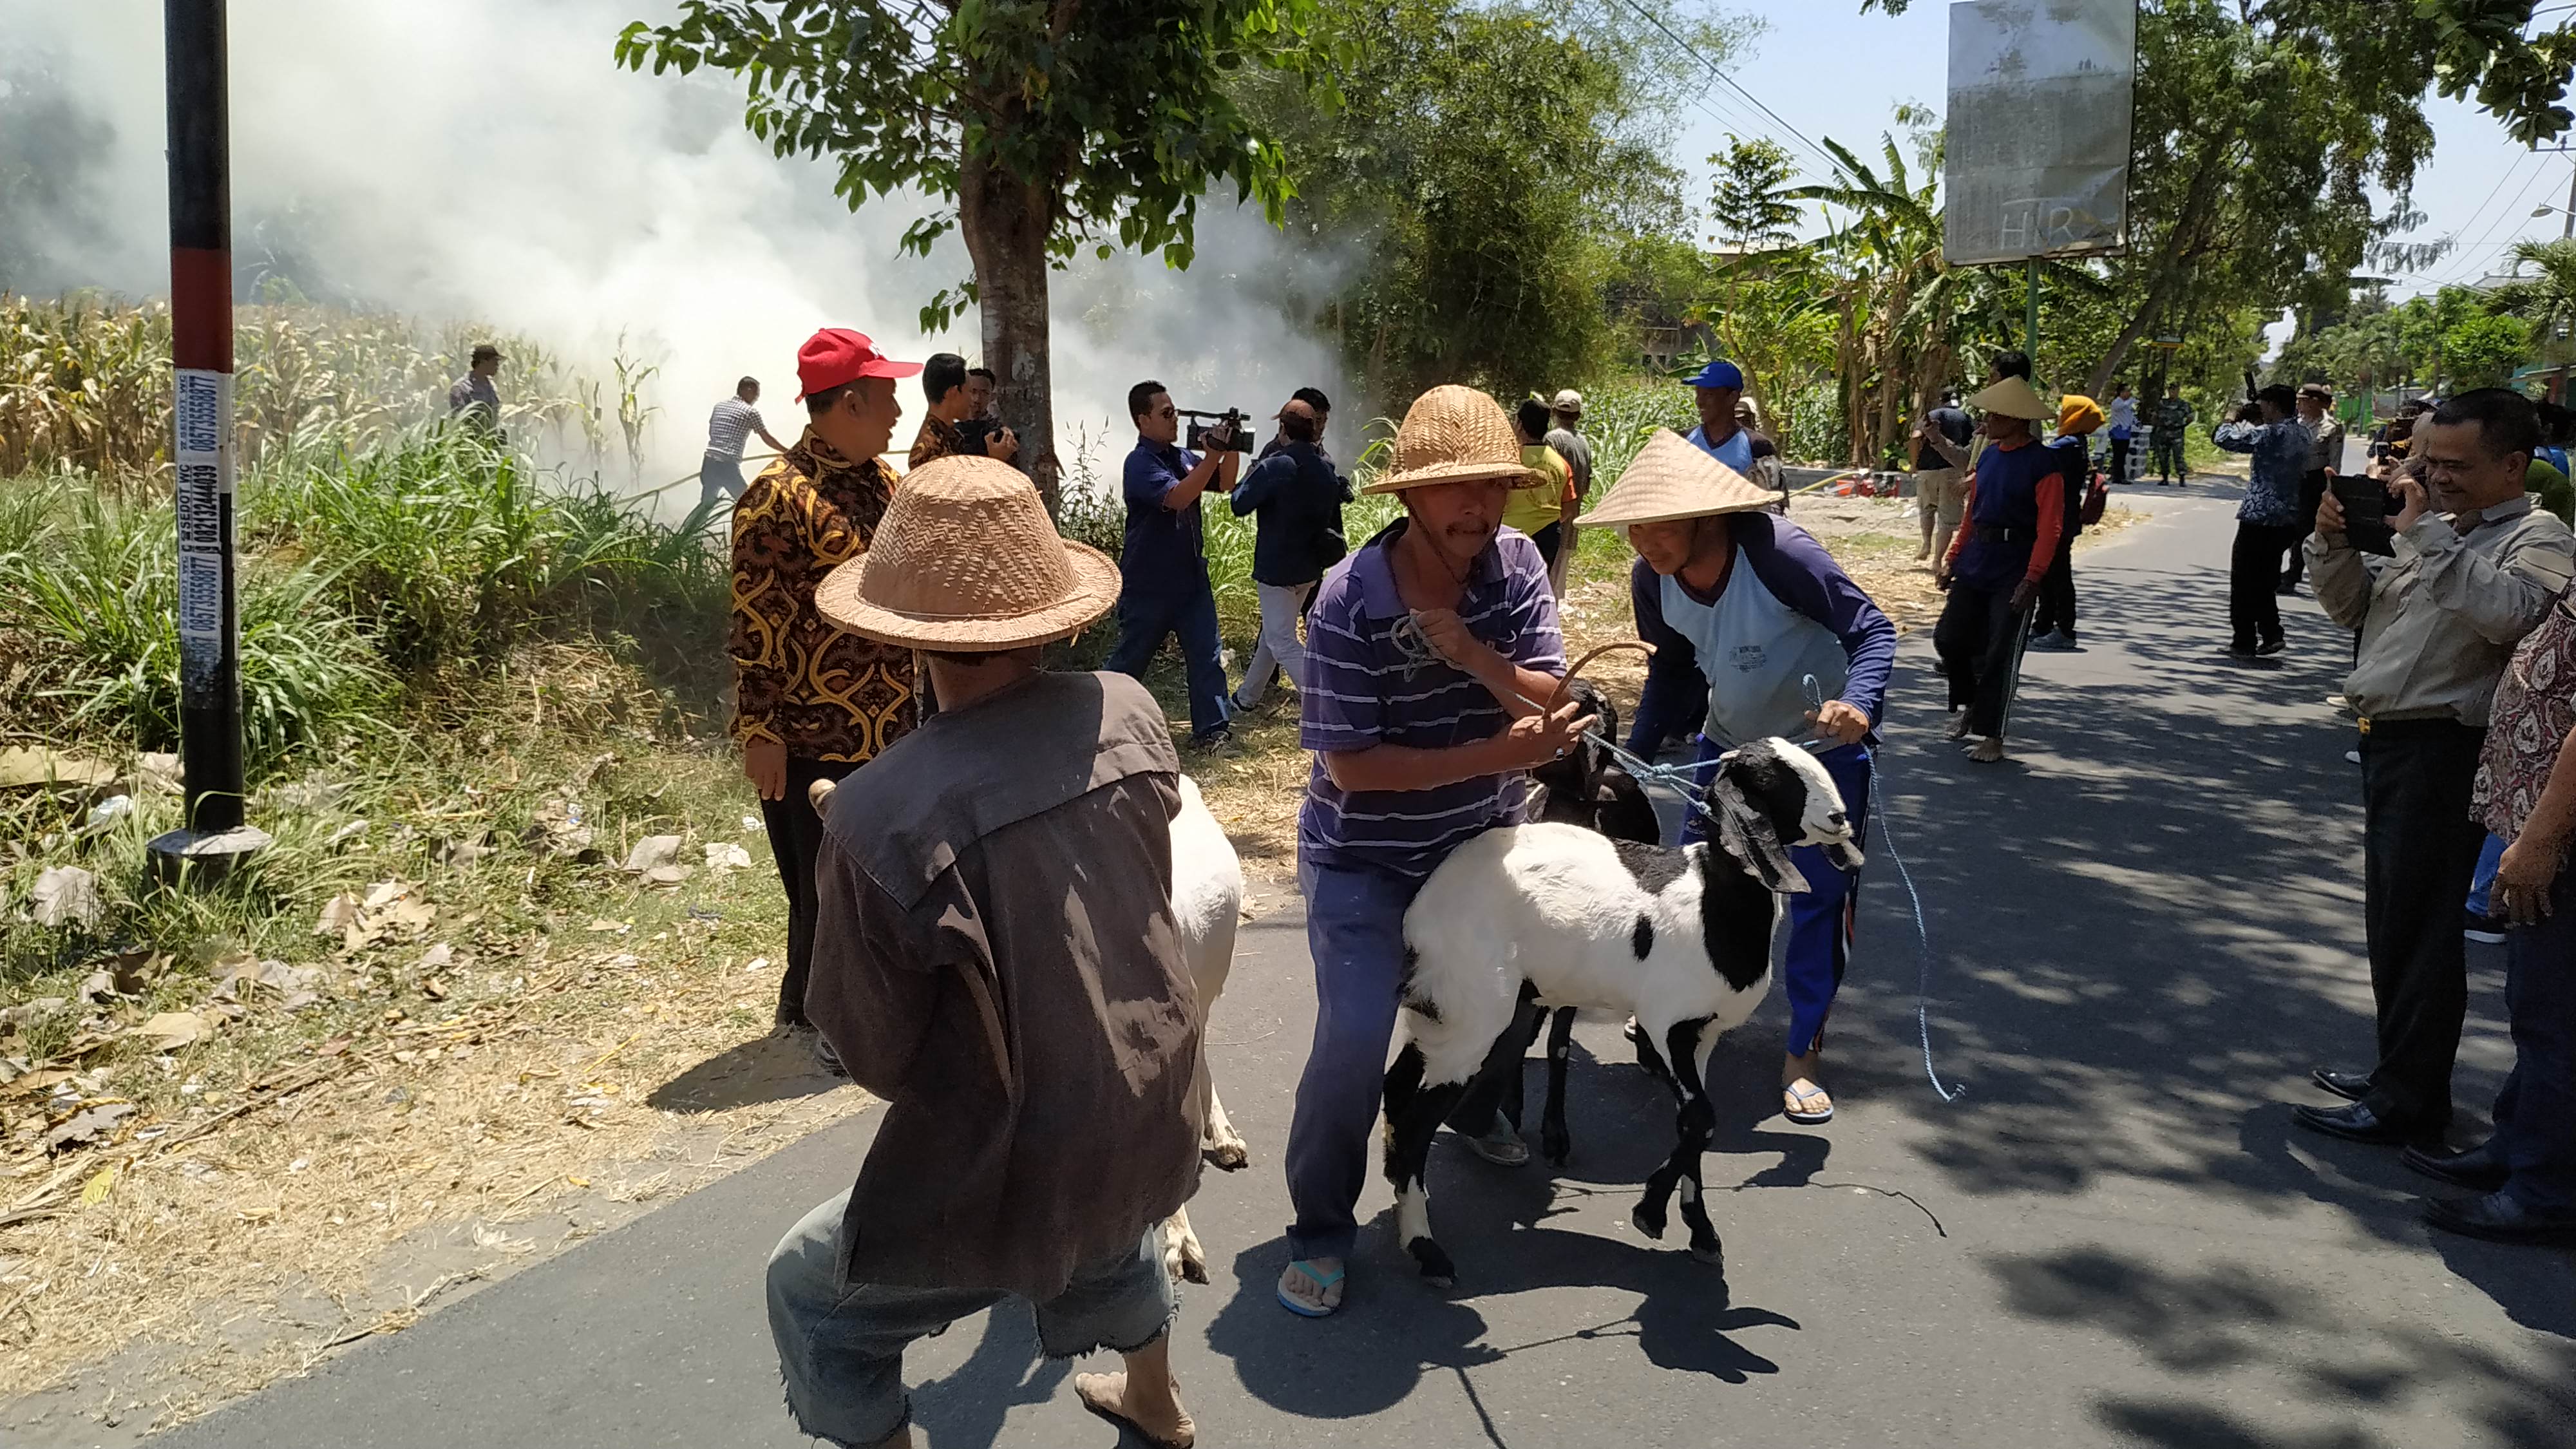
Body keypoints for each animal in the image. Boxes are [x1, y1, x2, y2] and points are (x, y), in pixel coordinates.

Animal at [1381, 737, 1865, 1278]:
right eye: (1770, 779)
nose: (1841, 818)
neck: (1715, 902)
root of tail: (1423, 907)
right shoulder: (1667, 1023)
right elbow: (1703, 1119)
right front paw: (1650, 1214)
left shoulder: (1703, 1035)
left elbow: (1692, 1124)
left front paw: (1700, 1232)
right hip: (1475, 1011)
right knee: (1419, 1117)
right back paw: (1425, 1248)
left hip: (1444, 1009)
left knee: (1397, 1085)